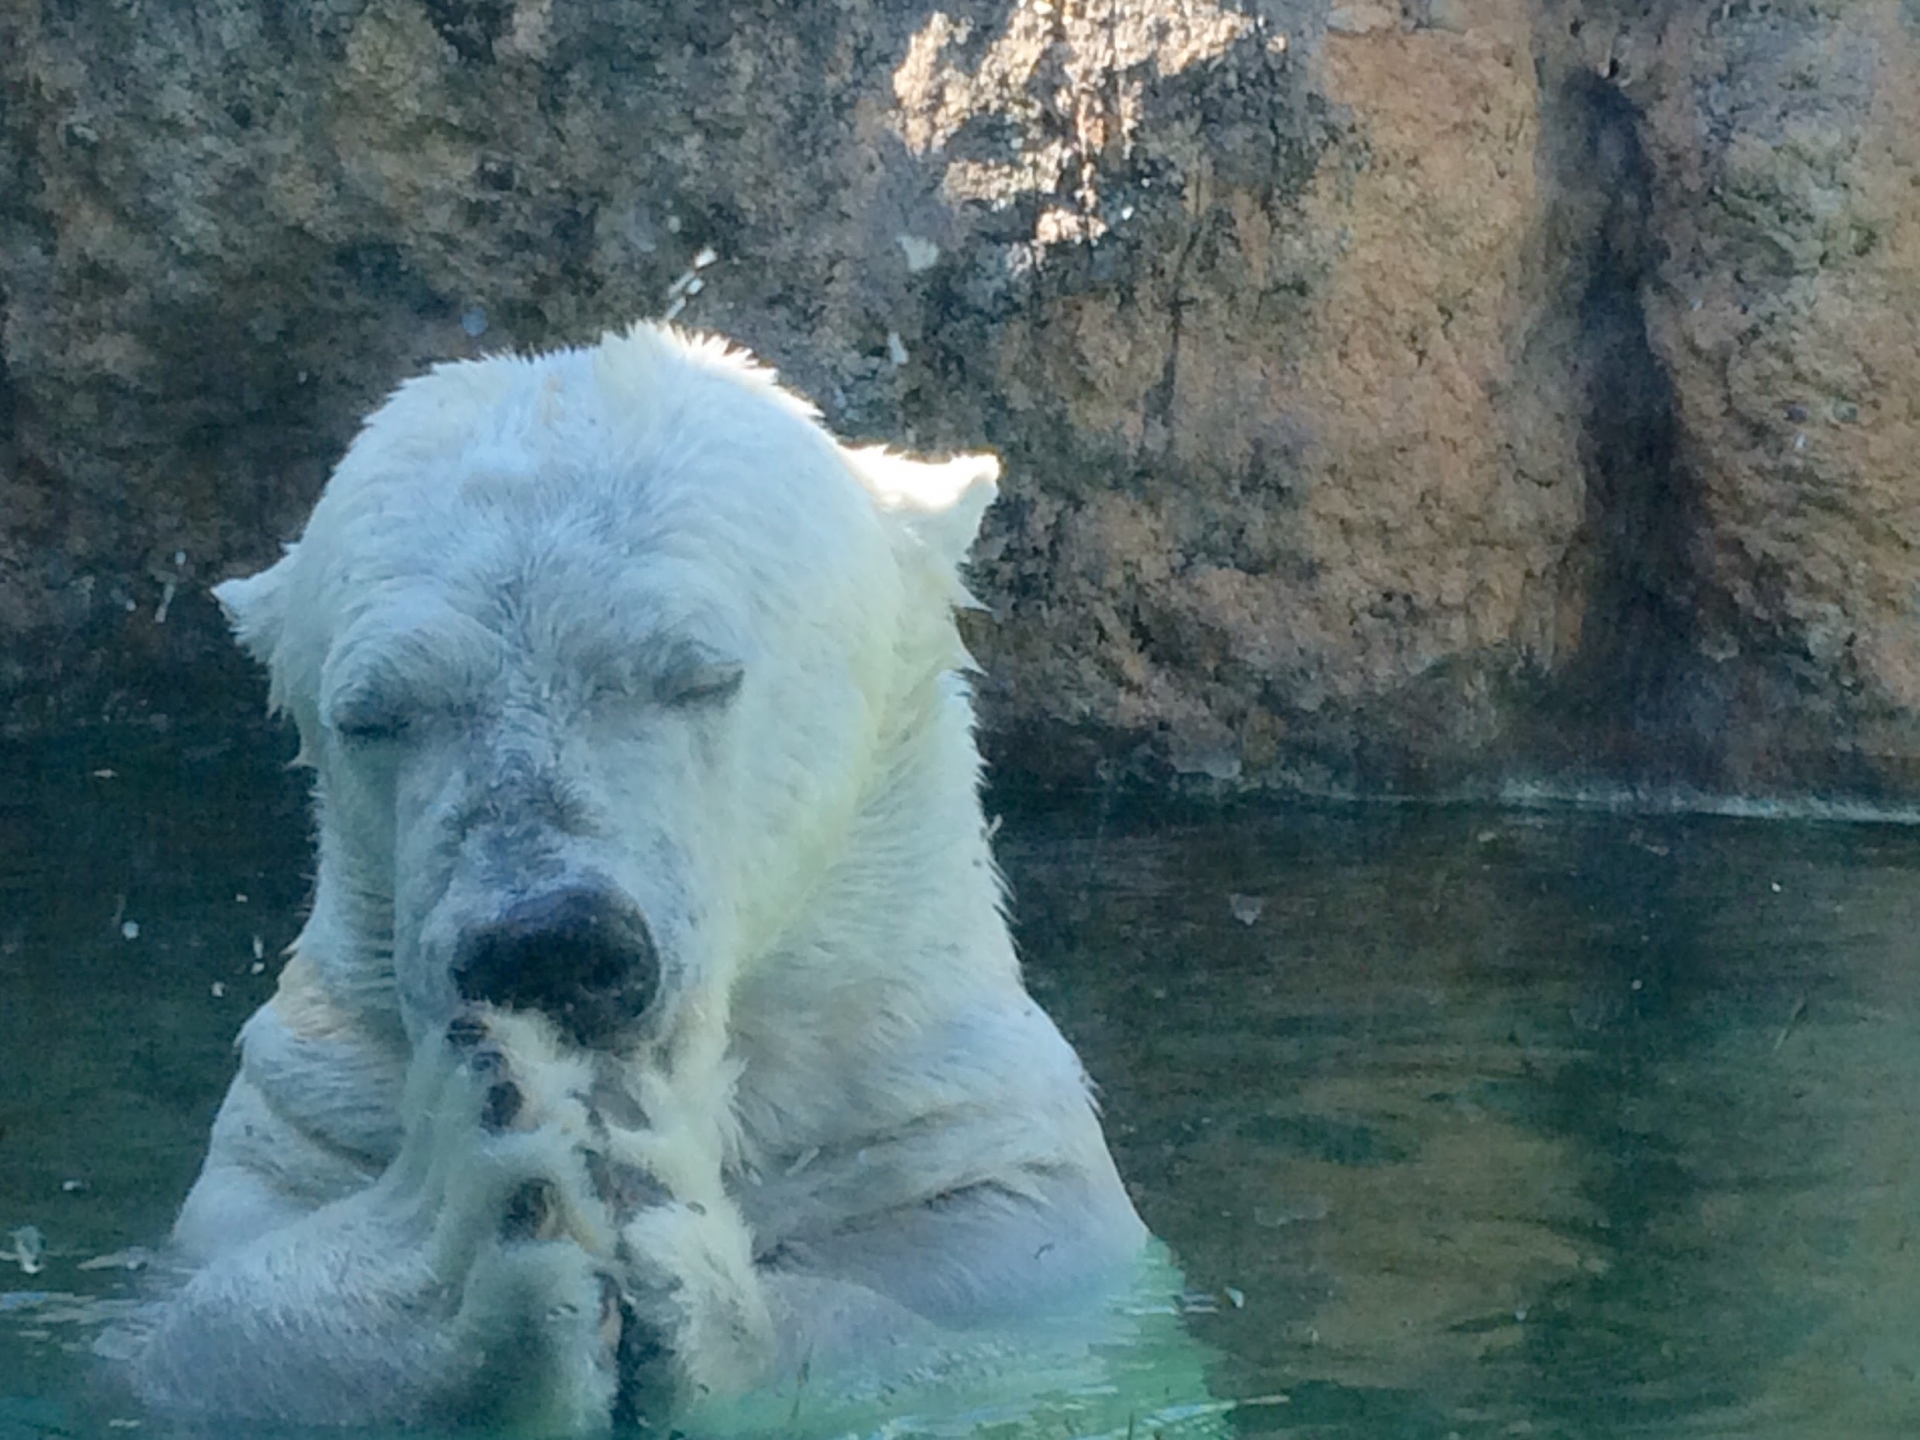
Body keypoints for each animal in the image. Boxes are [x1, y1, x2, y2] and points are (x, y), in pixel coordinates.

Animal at [135, 326, 1152, 1436]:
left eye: (699, 675)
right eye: (373, 715)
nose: (551, 942)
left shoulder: (952, 1127)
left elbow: (937, 1300)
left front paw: (677, 1226)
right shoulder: (306, 1118)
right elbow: (203, 1329)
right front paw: (454, 1230)